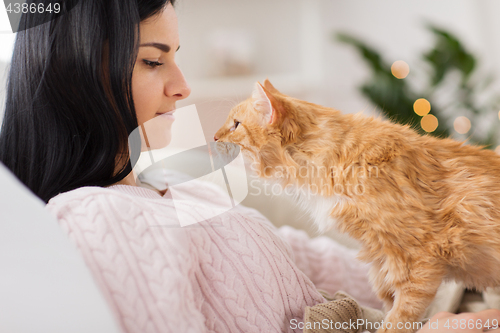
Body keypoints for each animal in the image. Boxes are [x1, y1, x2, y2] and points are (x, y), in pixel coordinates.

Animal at [214, 80, 500, 332]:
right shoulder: (382, 260)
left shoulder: (420, 257)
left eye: (236, 125)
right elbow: (387, 305)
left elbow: (399, 317)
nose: (214, 137)